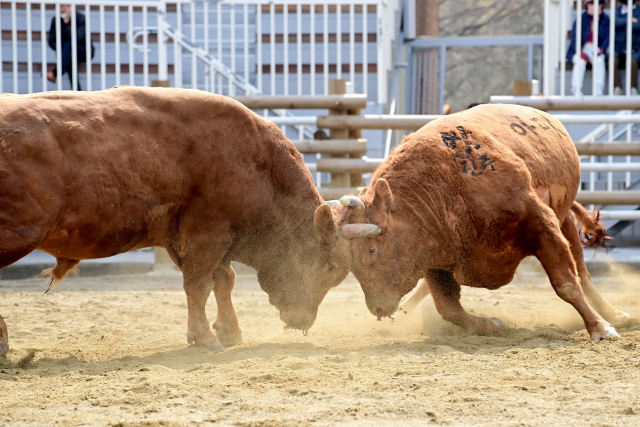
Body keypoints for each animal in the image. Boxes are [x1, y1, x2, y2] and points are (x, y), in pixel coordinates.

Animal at [0, 87, 350, 354]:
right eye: (330, 268)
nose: (303, 321)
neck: (257, 163)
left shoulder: (190, 239)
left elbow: (222, 280)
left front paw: (227, 331)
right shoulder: (208, 234)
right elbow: (199, 284)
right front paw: (205, 337)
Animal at [340, 103, 632, 342]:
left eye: (371, 249)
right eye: (350, 262)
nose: (377, 308)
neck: (445, 187)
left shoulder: (542, 223)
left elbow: (567, 285)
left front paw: (600, 328)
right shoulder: (434, 259)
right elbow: (449, 309)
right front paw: (491, 324)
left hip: (564, 219)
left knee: (582, 272)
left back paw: (613, 315)